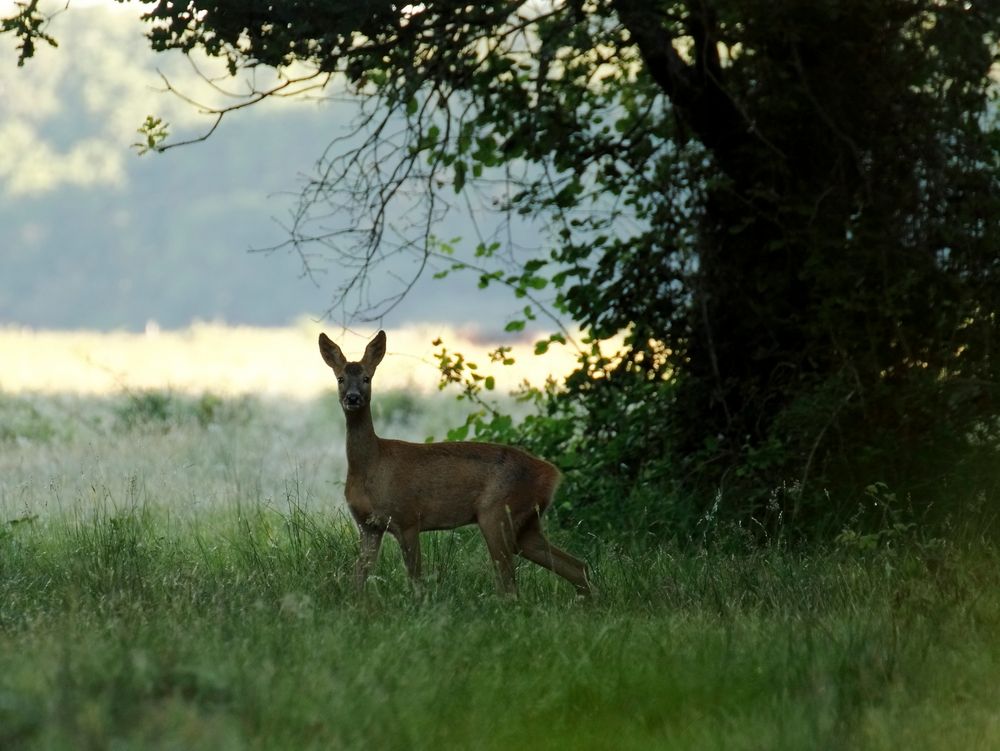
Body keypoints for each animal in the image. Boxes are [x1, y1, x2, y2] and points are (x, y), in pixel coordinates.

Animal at [316, 332, 588, 596]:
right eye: (340, 379)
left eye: (367, 378)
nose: (352, 398)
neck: (371, 465)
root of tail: (551, 474)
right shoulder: (368, 526)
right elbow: (358, 578)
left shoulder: (408, 517)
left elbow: (416, 580)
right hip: (526, 524)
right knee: (577, 565)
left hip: (497, 512)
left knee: (510, 584)